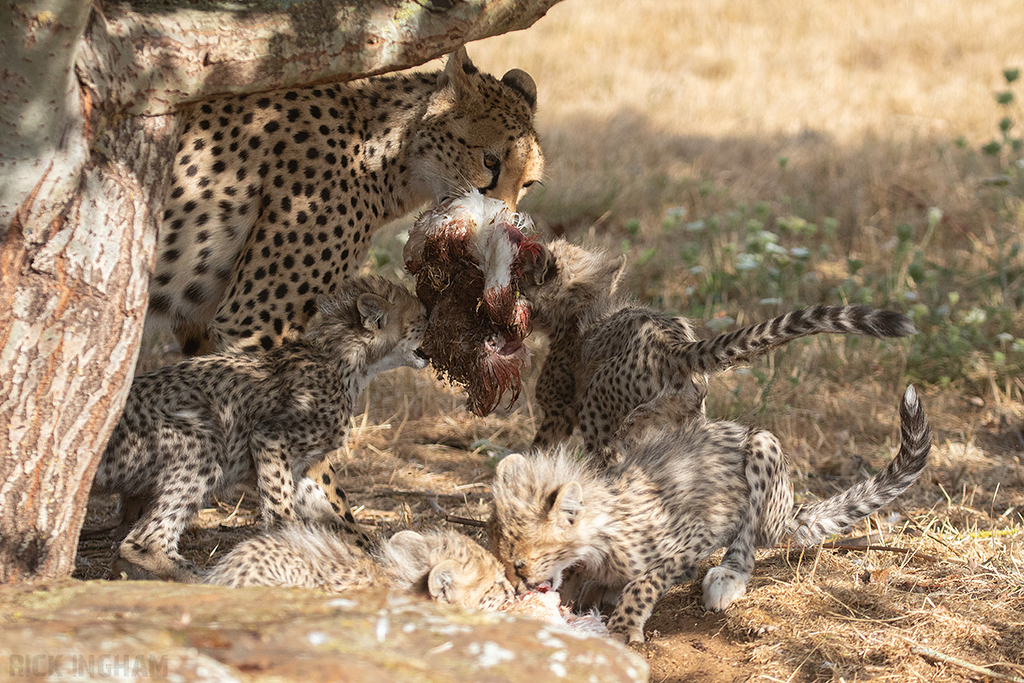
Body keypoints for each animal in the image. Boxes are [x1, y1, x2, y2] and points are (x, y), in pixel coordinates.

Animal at [93, 275, 429, 583]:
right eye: (422, 318)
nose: (433, 327)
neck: (346, 360)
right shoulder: (269, 437)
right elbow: (281, 505)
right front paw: (294, 546)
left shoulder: (293, 463)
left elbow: (315, 501)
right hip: (203, 442)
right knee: (143, 540)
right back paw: (200, 576)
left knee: (123, 545)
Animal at [489, 385, 931, 643]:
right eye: (503, 555)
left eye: (521, 560)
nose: (517, 581)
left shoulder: (694, 533)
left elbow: (646, 580)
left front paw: (625, 625)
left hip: (763, 450)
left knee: (748, 542)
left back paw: (726, 577)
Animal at [521, 239, 916, 464]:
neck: (579, 306)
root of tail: (674, 344)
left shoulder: (559, 412)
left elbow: (537, 449)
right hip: (683, 419)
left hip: (598, 416)